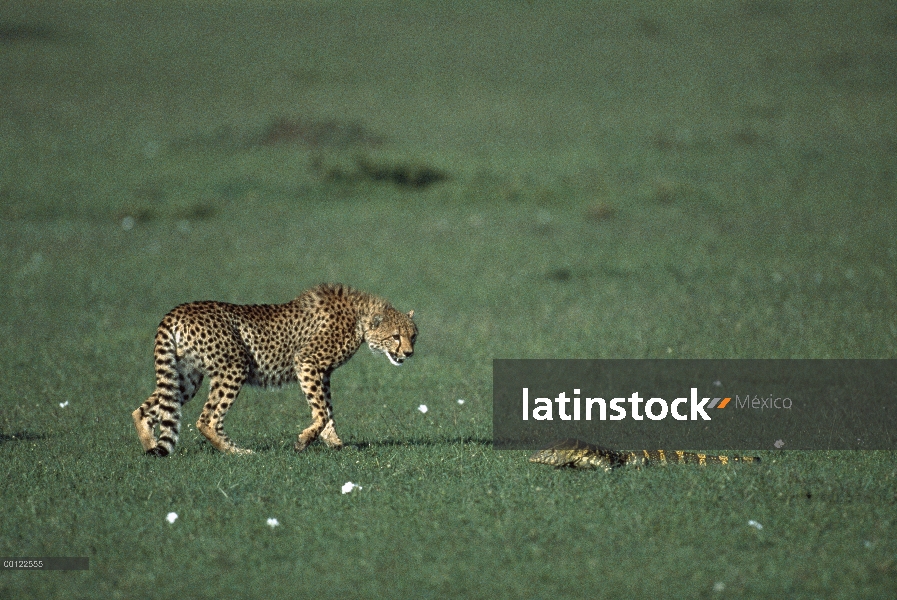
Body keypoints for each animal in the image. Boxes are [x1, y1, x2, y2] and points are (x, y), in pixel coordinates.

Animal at [132, 284, 416, 458]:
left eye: (413, 335)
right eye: (395, 336)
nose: (409, 353)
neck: (360, 317)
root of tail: (177, 310)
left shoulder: (322, 372)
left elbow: (327, 409)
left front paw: (334, 442)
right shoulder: (306, 361)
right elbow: (322, 411)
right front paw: (304, 441)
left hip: (187, 376)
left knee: (146, 410)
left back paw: (152, 447)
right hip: (234, 366)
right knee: (207, 419)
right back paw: (238, 453)